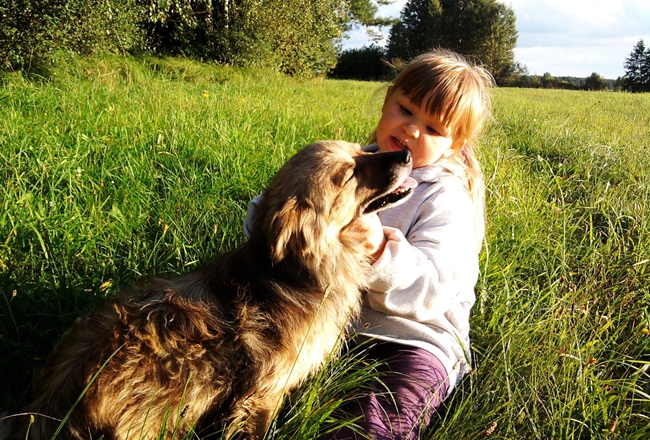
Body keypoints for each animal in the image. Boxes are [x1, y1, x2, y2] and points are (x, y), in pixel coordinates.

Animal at [13, 141, 410, 440]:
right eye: (349, 174)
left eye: (363, 149)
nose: (405, 154)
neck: (293, 272)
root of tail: (46, 414)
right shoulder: (263, 394)